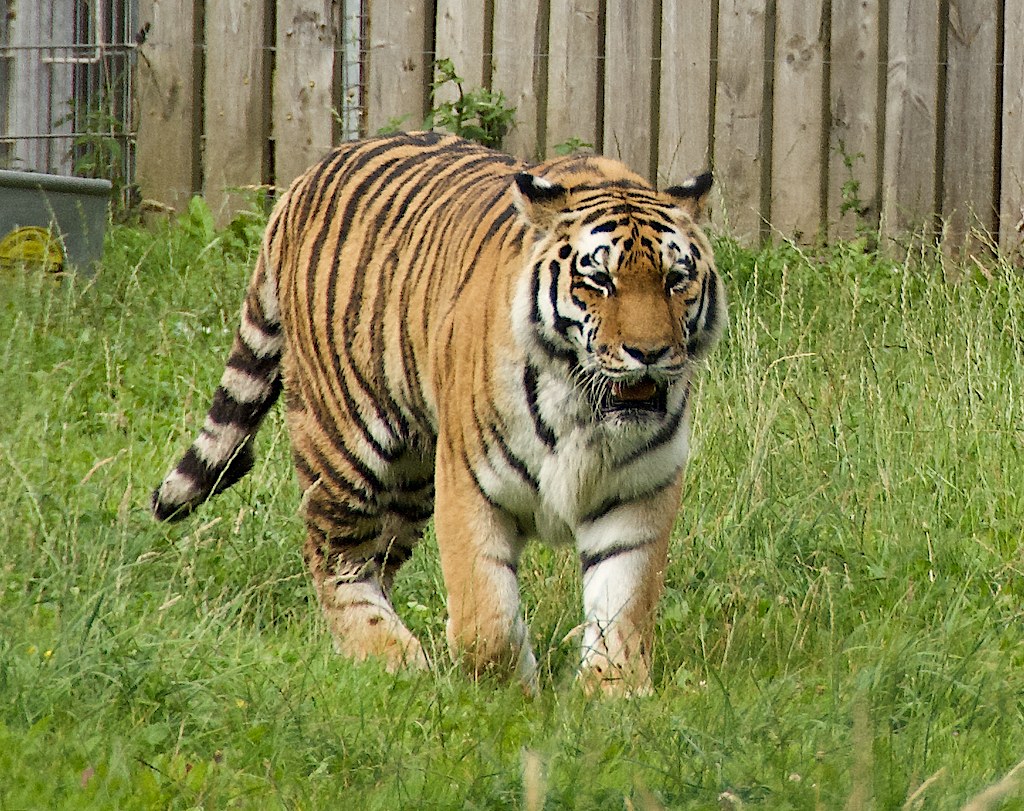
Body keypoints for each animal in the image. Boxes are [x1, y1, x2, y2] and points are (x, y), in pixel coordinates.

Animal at [152, 130, 725, 694]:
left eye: (676, 280)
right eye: (600, 281)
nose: (649, 352)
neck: (584, 411)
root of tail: (305, 177)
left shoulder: (639, 496)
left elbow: (625, 606)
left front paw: (612, 691)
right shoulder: (472, 486)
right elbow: (484, 617)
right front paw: (508, 690)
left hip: (409, 477)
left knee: (377, 559)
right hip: (344, 444)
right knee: (335, 558)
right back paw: (389, 655)